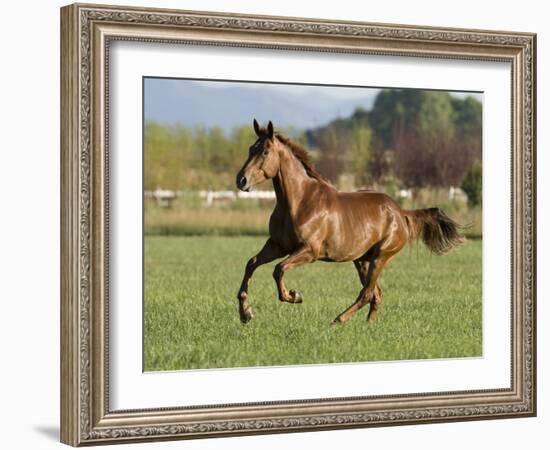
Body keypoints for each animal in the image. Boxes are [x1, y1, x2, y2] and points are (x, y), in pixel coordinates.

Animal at [236, 119, 466, 324]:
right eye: (250, 149)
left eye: (265, 152)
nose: (241, 180)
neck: (299, 201)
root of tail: (401, 213)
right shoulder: (277, 245)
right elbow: (251, 263)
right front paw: (245, 313)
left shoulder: (309, 251)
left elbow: (279, 269)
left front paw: (293, 296)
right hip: (362, 260)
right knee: (376, 294)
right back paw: (367, 325)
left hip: (380, 257)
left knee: (368, 293)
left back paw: (338, 321)